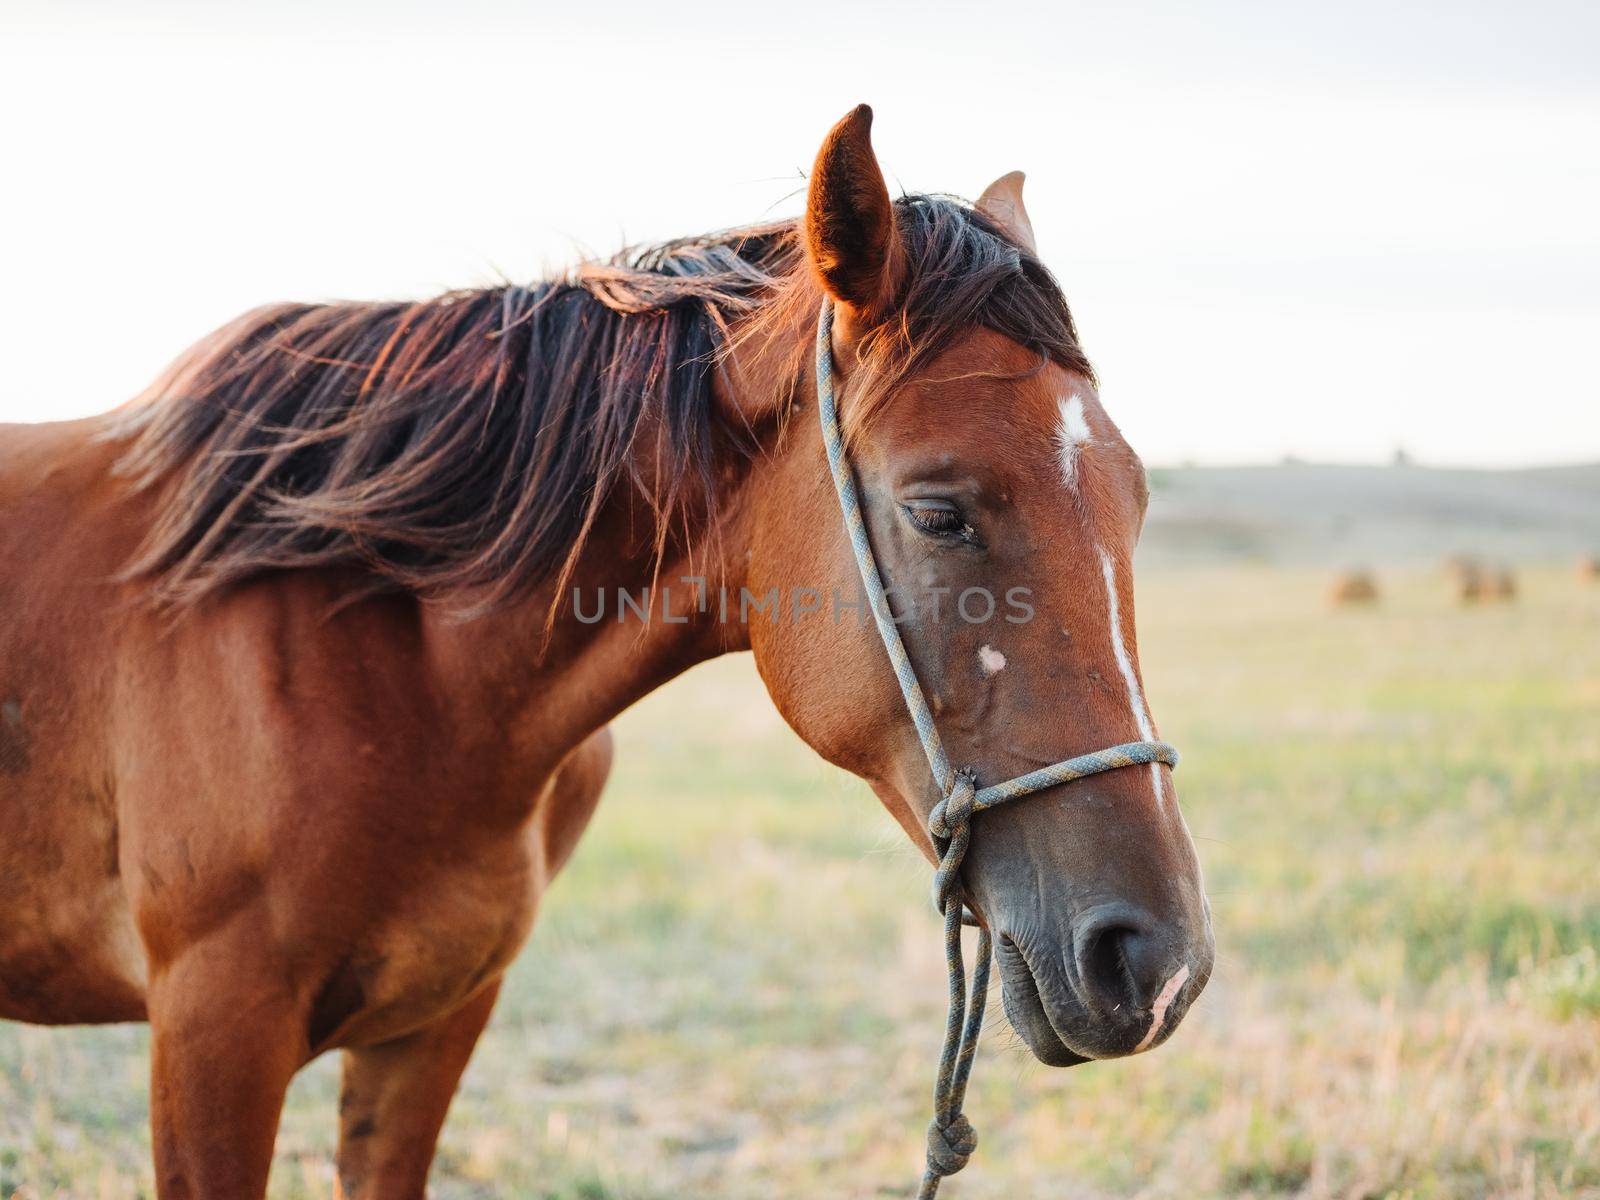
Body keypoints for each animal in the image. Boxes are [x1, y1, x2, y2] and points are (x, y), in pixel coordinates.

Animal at [0, 108, 1203, 1196]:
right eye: (939, 512)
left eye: (1137, 504)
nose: (1158, 964)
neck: (399, 669)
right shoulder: (216, 1032)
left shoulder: (435, 1020)